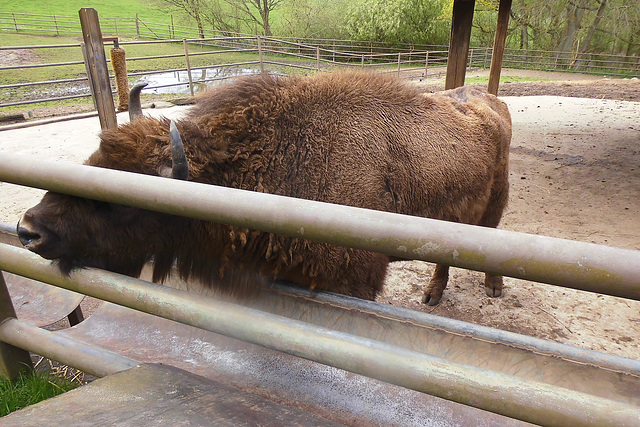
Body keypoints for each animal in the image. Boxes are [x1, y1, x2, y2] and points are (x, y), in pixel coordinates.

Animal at [17, 71, 512, 304]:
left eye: (122, 203)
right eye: (93, 159)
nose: (28, 230)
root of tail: (491, 101)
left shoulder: (354, 283)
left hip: (491, 210)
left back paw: (489, 288)